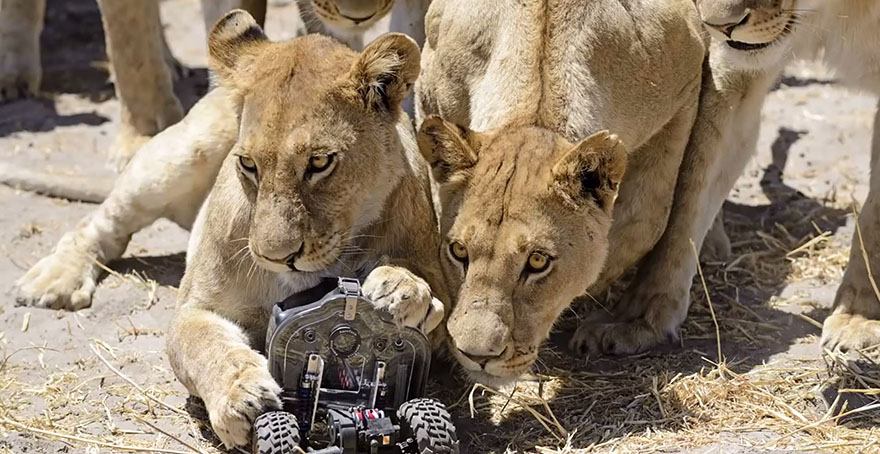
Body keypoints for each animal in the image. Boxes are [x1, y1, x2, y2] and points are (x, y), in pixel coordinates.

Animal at [414, 0, 709, 382]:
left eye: (538, 261)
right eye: (459, 251)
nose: (477, 355)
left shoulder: (685, 91)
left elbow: (643, 222)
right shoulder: (427, 93)